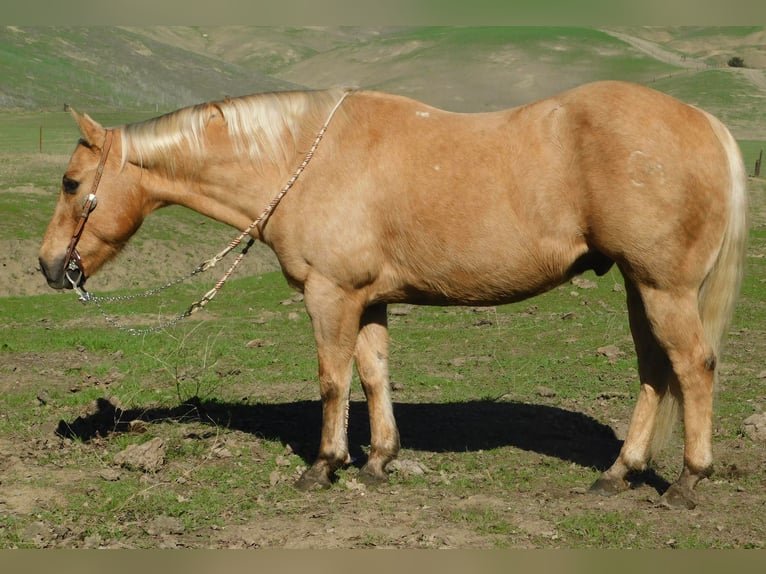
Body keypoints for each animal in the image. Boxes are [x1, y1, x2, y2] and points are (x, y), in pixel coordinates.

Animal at [39, 80, 748, 508]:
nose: (49, 267)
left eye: (73, 184)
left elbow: (333, 380)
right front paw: (379, 460)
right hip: (639, 286)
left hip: (662, 288)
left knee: (693, 367)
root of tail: (707, 125)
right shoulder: (367, 299)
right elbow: (374, 372)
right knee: (656, 372)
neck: (301, 161)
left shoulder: (329, 296)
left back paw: (689, 479)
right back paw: (619, 472)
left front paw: (324, 465)